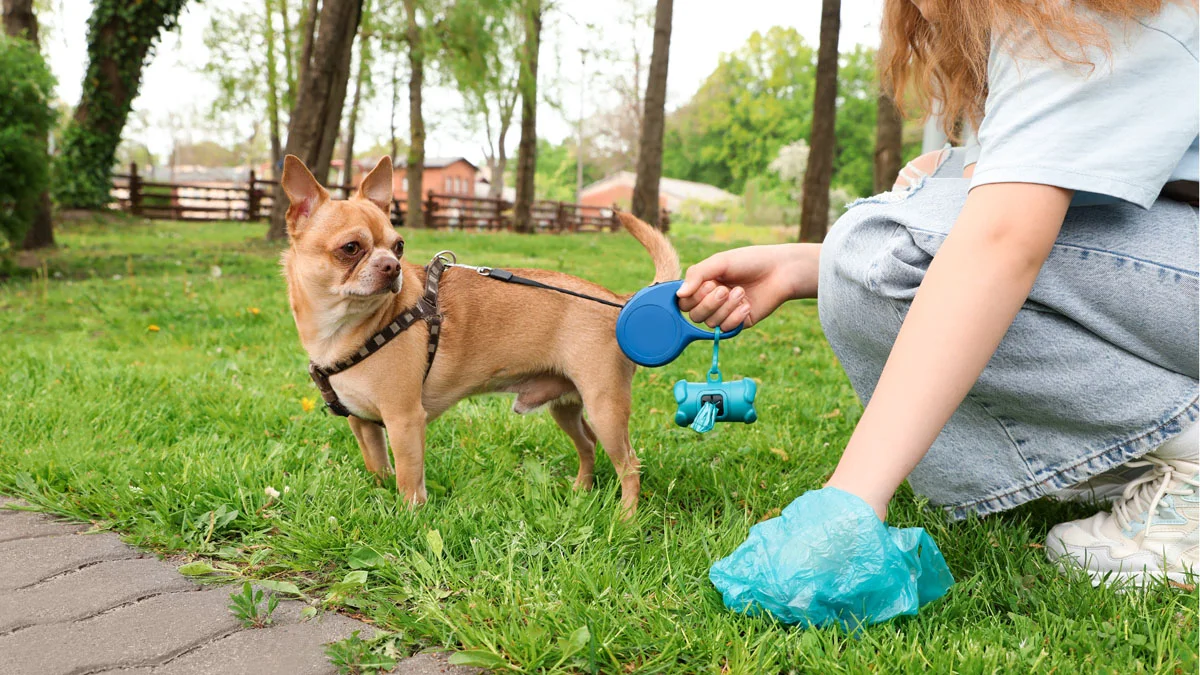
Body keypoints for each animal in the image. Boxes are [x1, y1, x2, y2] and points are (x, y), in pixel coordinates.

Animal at [276, 152, 681, 511]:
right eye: (350, 248)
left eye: (399, 246)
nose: (392, 266)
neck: (344, 329)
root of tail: (619, 300)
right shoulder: (363, 424)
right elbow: (379, 467)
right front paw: (381, 496)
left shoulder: (404, 421)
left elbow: (409, 478)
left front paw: (409, 517)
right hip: (567, 408)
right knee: (588, 445)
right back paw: (581, 491)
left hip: (605, 408)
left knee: (629, 465)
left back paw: (625, 518)